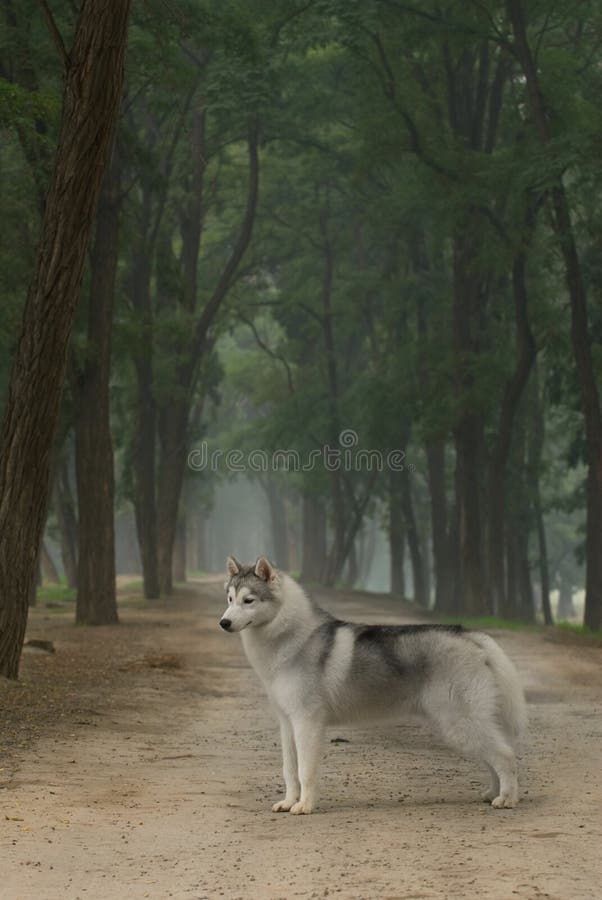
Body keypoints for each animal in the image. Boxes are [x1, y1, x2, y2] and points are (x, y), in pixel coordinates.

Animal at [220, 556, 524, 816]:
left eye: (248, 600)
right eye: (230, 599)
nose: (224, 622)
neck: (290, 638)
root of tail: (470, 635)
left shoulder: (307, 722)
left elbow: (305, 771)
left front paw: (304, 805)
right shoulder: (287, 722)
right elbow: (289, 770)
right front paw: (288, 801)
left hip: (460, 724)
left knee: (506, 756)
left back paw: (507, 798)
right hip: (465, 727)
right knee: (495, 758)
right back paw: (493, 793)